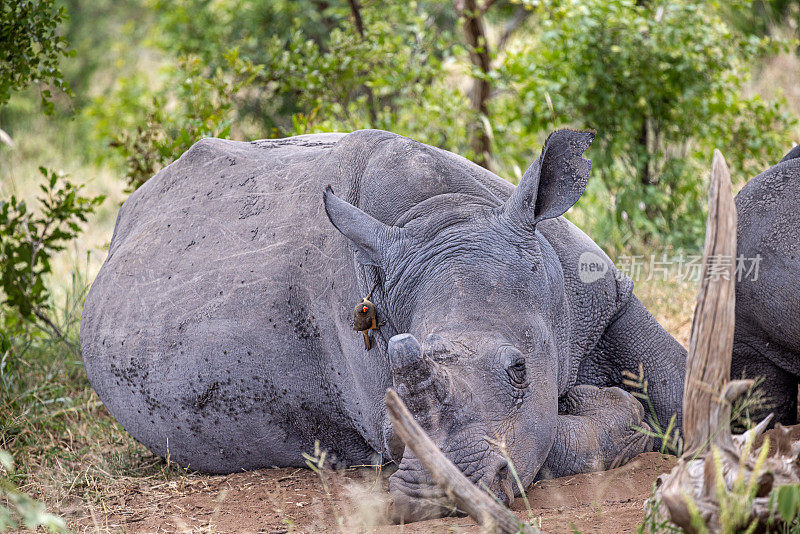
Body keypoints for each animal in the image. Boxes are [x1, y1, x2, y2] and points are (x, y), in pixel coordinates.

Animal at [81, 130, 688, 524]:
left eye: (520, 371)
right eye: (396, 418)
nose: (427, 498)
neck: (447, 215)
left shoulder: (606, 295)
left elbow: (681, 379)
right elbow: (552, 443)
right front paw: (607, 405)